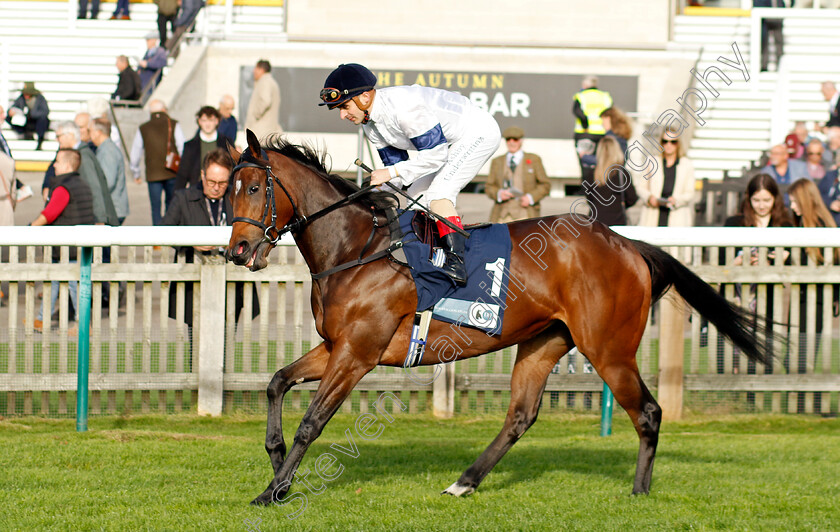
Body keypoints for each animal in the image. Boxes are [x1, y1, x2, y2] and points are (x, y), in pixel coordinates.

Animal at [225, 131, 776, 504]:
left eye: (253, 188)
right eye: (227, 190)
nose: (238, 251)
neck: (356, 250)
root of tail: (628, 244)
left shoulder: (358, 352)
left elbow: (312, 422)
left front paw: (272, 491)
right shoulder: (336, 345)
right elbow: (276, 382)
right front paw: (276, 463)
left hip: (609, 348)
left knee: (648, 411)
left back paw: (639, 492)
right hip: (544, 341)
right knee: (521, 415)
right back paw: (464, 482)